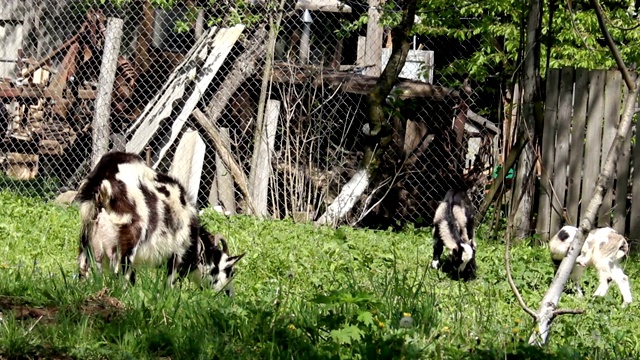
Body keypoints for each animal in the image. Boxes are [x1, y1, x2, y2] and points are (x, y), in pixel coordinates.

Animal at [75, 150, 245, 294]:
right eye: (229, 271)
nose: (230, 294)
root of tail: (104, 177)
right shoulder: (176, 253)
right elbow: (169, 284)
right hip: (129, 241)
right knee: (120, 274)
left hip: (88, 239)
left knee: (84, 270)